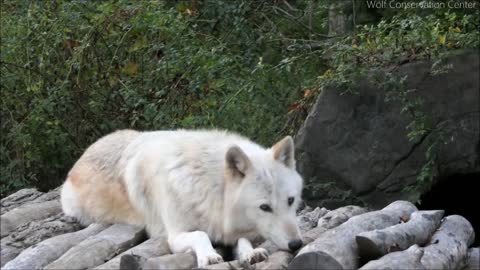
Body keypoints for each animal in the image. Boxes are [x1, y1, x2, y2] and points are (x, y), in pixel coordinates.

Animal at [61, 130, 304, 266]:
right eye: (265, 207)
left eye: (291, 201)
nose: (296, 244)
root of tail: (87, 150)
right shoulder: (175, 235)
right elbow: (200, 235)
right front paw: (209, 256)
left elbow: (243, 239)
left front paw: (251, 252)